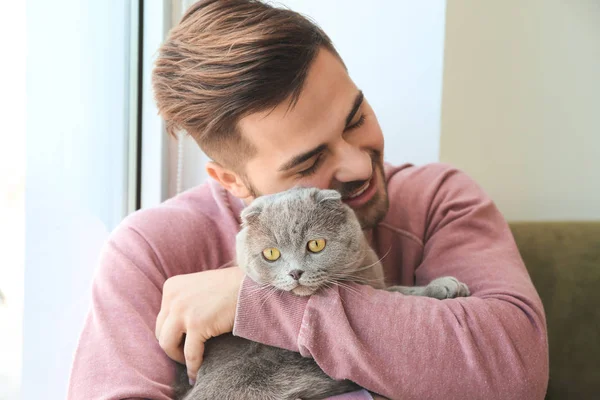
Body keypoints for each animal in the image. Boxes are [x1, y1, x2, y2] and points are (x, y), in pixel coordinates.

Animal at [173, 188, 468, 400]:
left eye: (315, 244)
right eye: (271, 253)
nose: (295, 272)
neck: (360, 277)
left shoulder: (377, 285)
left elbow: (399, 290)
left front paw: (450, 286)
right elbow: (402, 293)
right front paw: (446, 286)